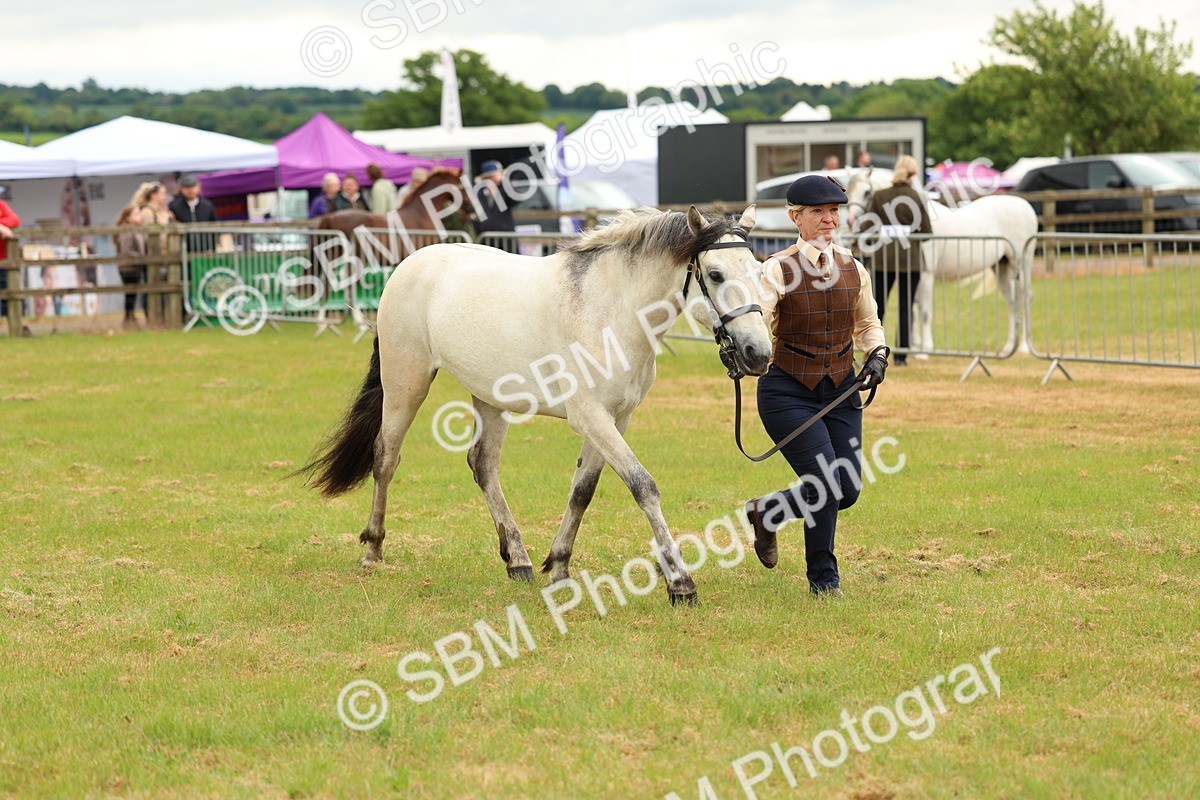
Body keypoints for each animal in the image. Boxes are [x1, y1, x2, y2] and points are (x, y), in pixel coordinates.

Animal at [297, 206, 774, 606]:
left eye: (759, 270)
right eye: (715, 274)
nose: (757, 354)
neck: (610, 311)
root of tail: (409, 264)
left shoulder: (616, 418)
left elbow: (583, 491)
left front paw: (558, 566)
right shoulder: (592, 417)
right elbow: (643, 486)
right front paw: (680, 583)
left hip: (489, 398)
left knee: (483, 464)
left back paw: (518, 559)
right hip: (405, 384)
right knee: (386, 458)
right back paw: (373, 550)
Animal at [845, 169, 1038, 356]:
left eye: (866, 192)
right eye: (848, 190)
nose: (851, 221)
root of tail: (1025, 206)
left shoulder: (925, 274)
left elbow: (923, 311)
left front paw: (925, 349)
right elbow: (913, 308)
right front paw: (914, 346)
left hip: (1022, 264)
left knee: (1025, 298)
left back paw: (1024, 347)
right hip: (1001, 267)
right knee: (1012, 302)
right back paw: (1009, 346)